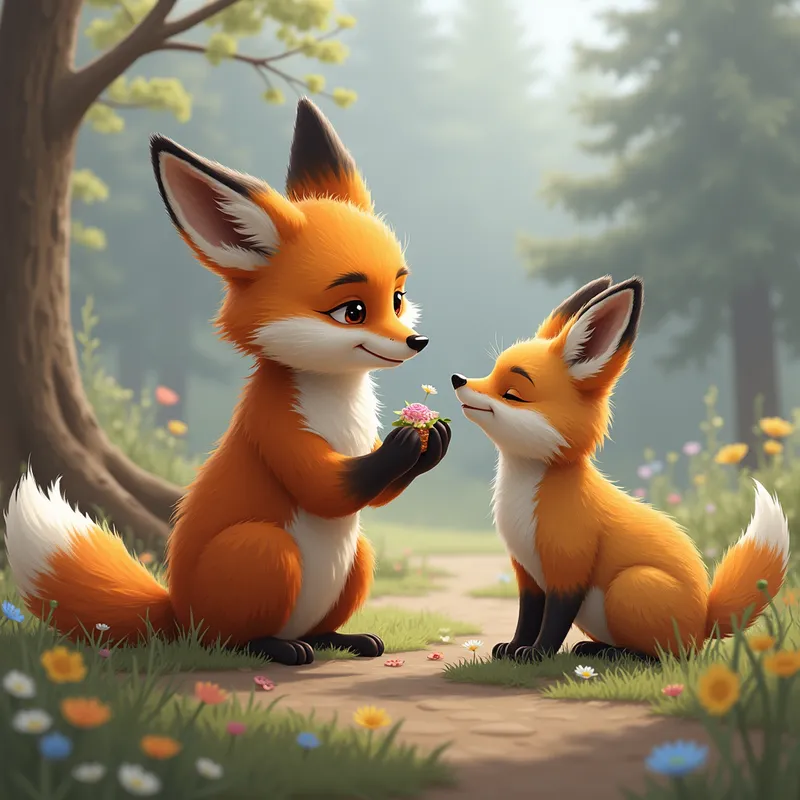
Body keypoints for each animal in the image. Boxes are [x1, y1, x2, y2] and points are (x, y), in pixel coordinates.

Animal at [4, 98, 451, 666]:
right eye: (352, 311)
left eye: (397, 298)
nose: (418, 342)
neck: (340, 402)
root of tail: (175, 610)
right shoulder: (274, 426)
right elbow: (328, 487)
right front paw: (404, 443)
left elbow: (373, 499)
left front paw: (434, 441)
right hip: (264, 551)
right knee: (231, 640)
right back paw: (277, 648)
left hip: (360, 555)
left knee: (323, 624)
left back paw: (344, 639)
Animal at [451, 276, 790, 663]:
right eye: (490, 372)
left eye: (512, 393)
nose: (458, 379)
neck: (526, 495)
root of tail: (705, 619)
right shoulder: (527, 573)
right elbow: (528, 616)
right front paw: (512, 647)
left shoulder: (569, 568)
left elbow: (553, 622)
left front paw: (536, 654)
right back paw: (595, 648)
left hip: (633, 586)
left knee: (669, 657)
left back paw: (621, 656)